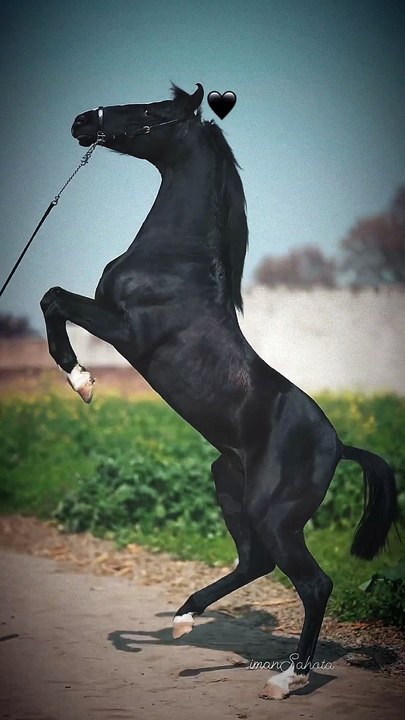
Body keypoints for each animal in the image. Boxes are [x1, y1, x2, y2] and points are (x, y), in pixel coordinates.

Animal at [40, 83, 398, 700]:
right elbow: (51, 299)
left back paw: (286, 679)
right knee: (255, 562)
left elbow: (54, 298)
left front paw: (80, 380)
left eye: (150, 112)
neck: (174, 261)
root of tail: (339, 447)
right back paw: (184, 619)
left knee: (315, 583)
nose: (83, 121)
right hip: (228, 483)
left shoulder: (125, 329)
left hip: (273, 511)